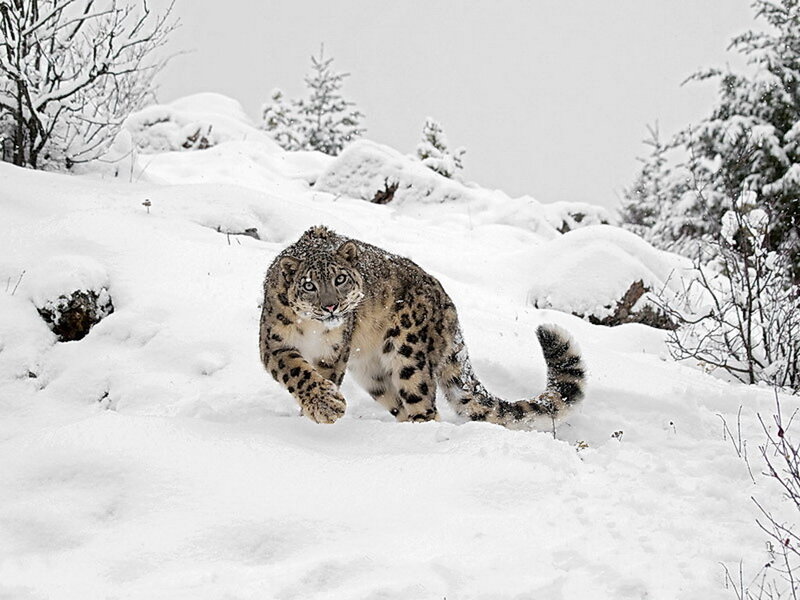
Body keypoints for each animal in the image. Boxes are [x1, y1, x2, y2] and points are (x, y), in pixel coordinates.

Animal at [259, 225, 586, 429]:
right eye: (309, 285)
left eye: (340, 279)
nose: (331, 307)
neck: (313, 331)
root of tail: (447, 302)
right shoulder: (274, 343)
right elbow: (299, 372)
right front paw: (323, 408)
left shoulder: (335, 351)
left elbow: (320, 376)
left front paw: (323, 410)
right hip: (372, 373)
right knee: (400, 404)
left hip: (409, 353)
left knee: (423, 403)